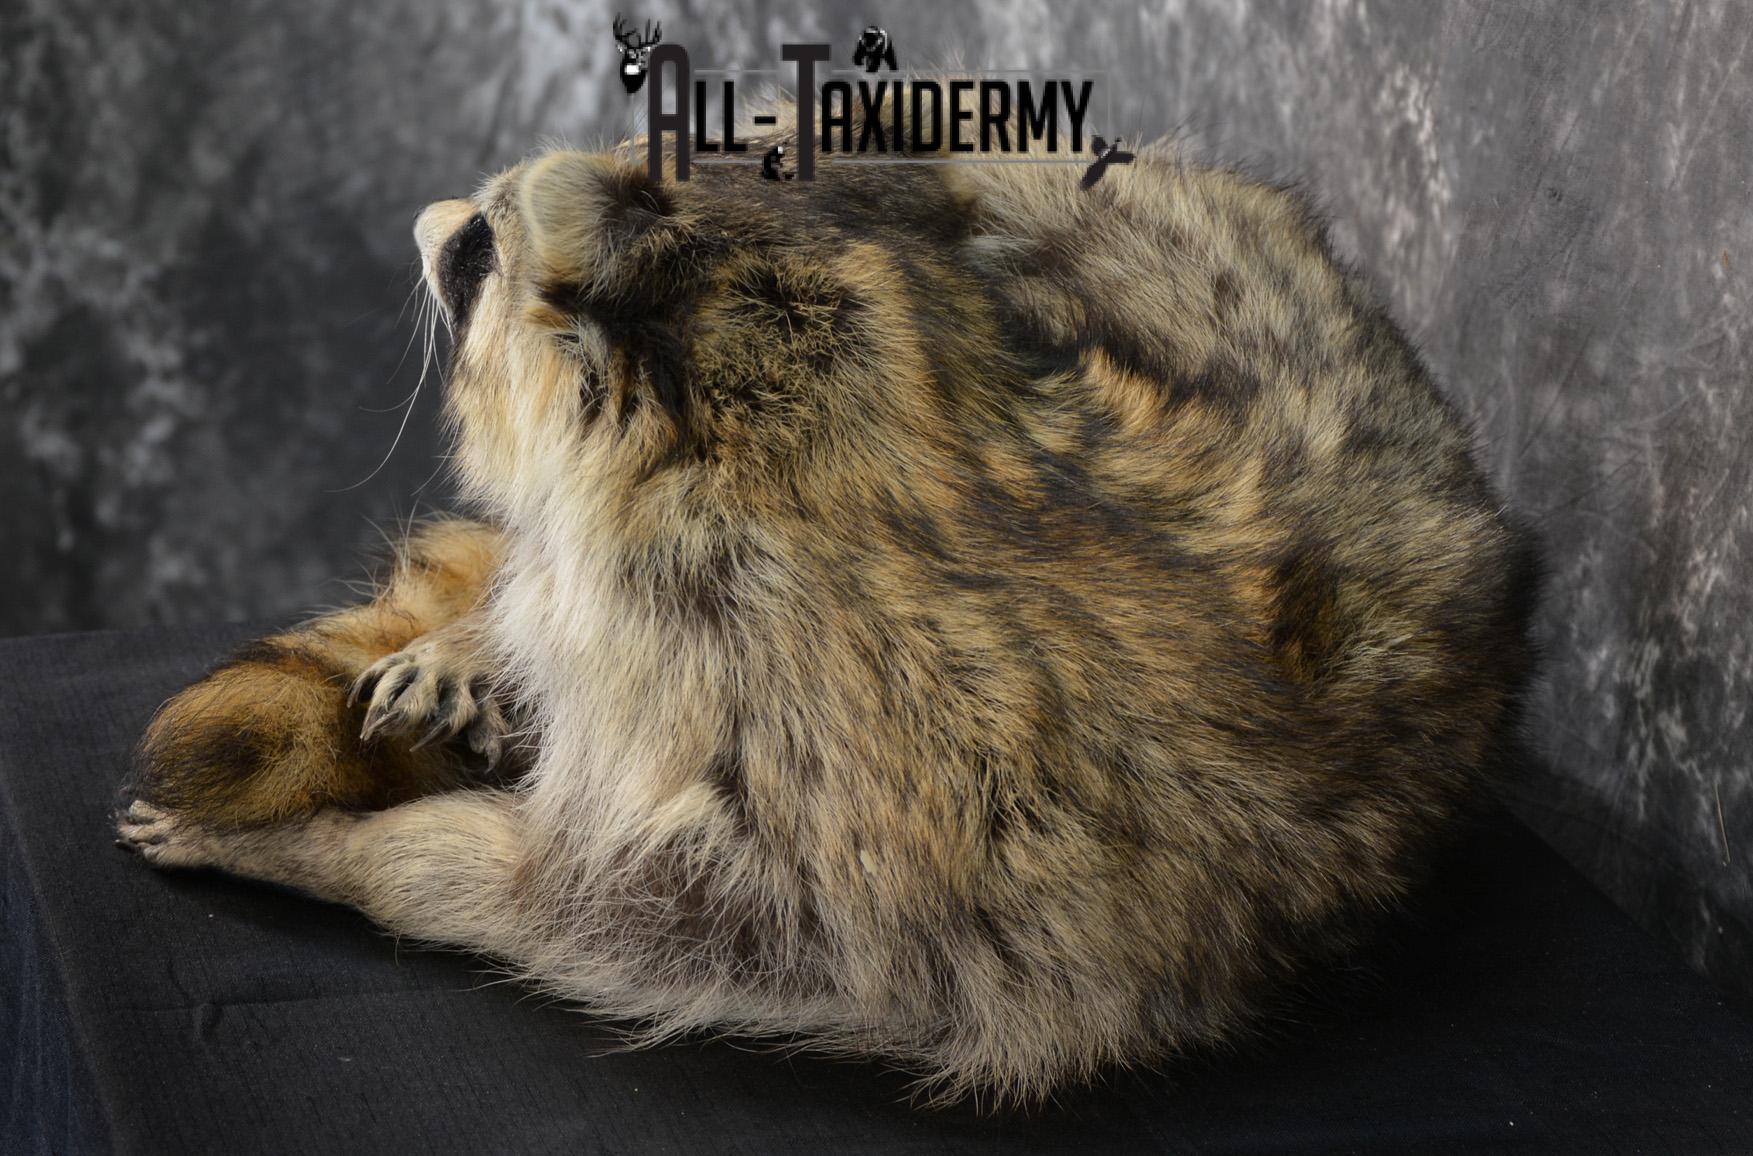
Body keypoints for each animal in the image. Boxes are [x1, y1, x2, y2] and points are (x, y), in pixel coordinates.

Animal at [119, 107, 1537, 1105]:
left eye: (478, 246)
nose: (427, 217)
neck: (888, 418)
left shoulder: (810, 723)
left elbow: (622, 919)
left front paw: (331, 854)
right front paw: (479, 635)